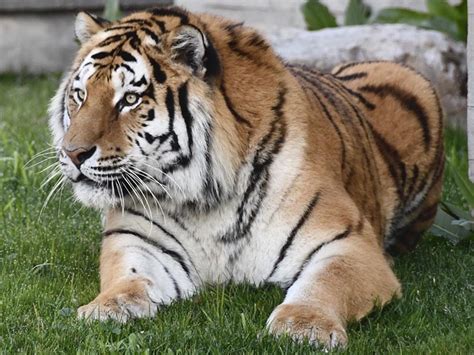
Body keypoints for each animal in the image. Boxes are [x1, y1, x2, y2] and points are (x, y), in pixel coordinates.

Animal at [48, 5, 444, 350]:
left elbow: (327, 282)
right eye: (80, 95)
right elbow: (128, 278)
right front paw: (105, 308)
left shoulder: (348, 242)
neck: (205, 198)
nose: (73, 153)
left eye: (130, 99)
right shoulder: (138, 240)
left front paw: (304, 326)